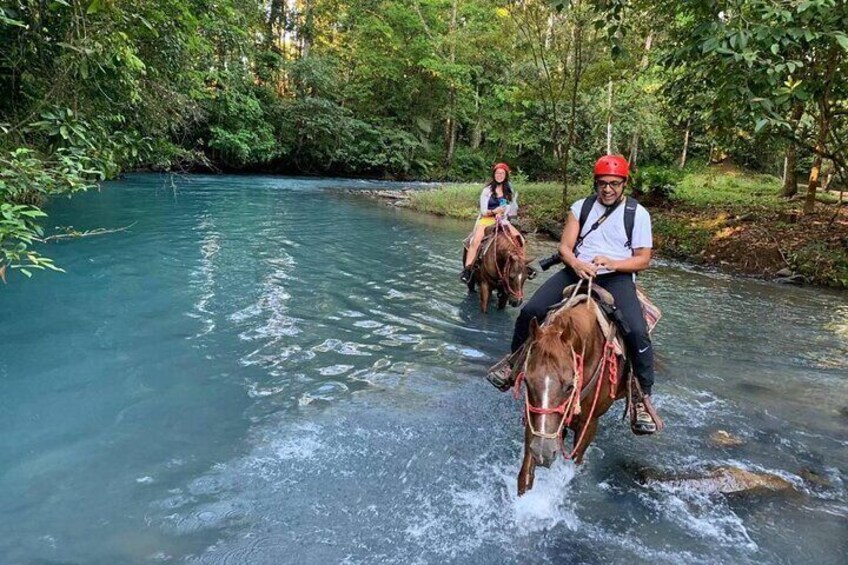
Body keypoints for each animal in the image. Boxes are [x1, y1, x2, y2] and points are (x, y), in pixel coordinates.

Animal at [512, 300, 628, 494]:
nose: (543, 451)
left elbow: (574, 463)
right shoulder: (534, 418)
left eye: (569, 386)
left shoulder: (589, 424)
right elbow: (524, 476)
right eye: (527, 381)